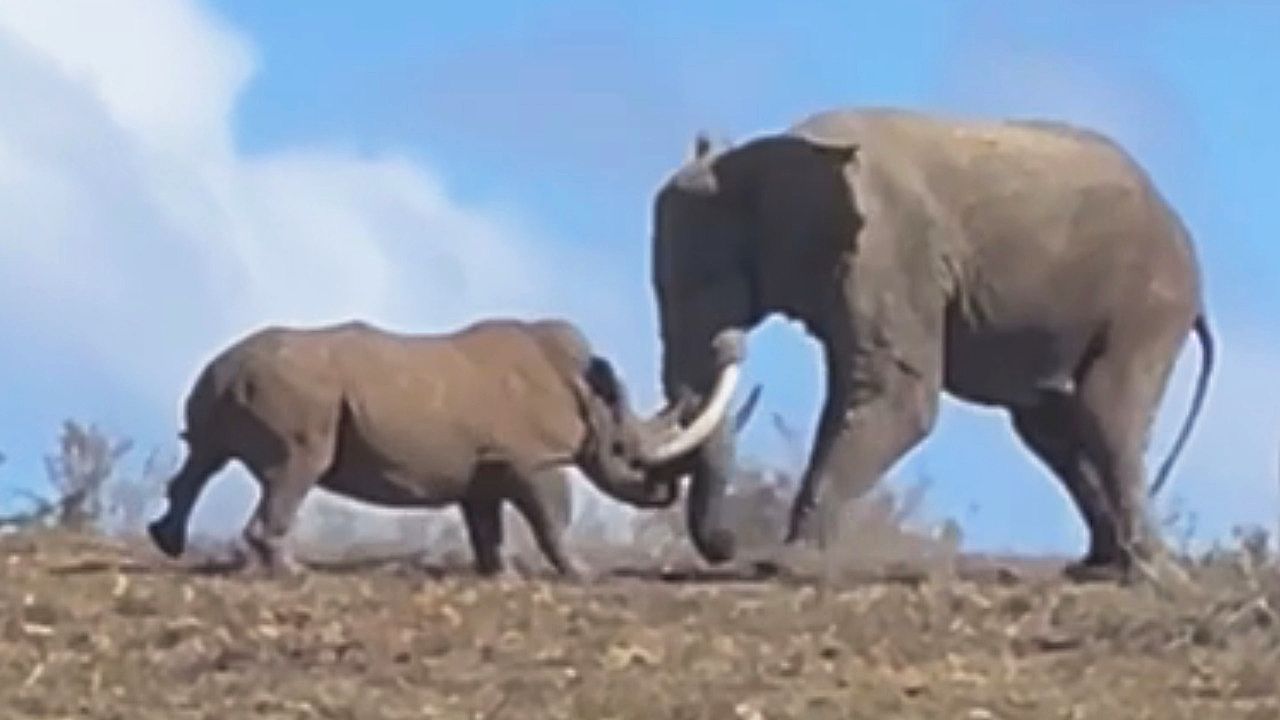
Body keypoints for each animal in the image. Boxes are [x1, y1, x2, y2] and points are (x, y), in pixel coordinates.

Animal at [146, 317, 754, 579]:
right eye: (627, 452)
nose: (663, 492)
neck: (587, 396)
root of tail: (227, 368)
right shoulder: (532, 458)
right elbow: (552, 515)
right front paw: (582, 574)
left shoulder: (483, 466)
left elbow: (485, 523)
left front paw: (501, 576)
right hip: (297, 394)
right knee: (295, 468)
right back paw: (294, 574)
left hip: (229, 383)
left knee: (203, 458)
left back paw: (168, 543)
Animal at [649, 107, 1215, 581]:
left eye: (705, 281)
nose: (730, 546)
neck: (766, 154)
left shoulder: (890, 251)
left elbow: (897, 397)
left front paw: (788, 561)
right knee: (1048, 425)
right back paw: (1097, 567)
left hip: (1149, 301)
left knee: (1106, 410)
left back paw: (1146, 573)